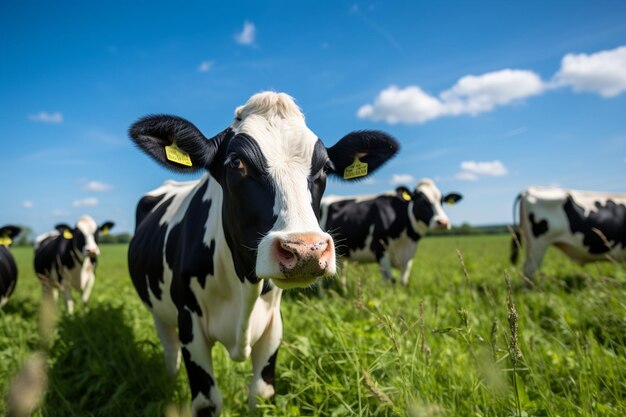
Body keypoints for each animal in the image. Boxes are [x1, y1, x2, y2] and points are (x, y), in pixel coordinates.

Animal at [126, 90, 398, 412]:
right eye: (236, 163)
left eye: (324, 169)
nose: (306, 250)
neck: (243, 283)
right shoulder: (189, 322)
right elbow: (207, 401)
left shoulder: (273, 325)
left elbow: (262, 393)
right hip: (159, 311)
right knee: (170, 352)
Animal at [320, 177, 460, 288]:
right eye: (422, 200)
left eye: (442, 201)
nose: (442, 222)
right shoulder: (380, 250)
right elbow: (389, 281)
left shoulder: (409, 255)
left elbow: (404, 281)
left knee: (342, 273)